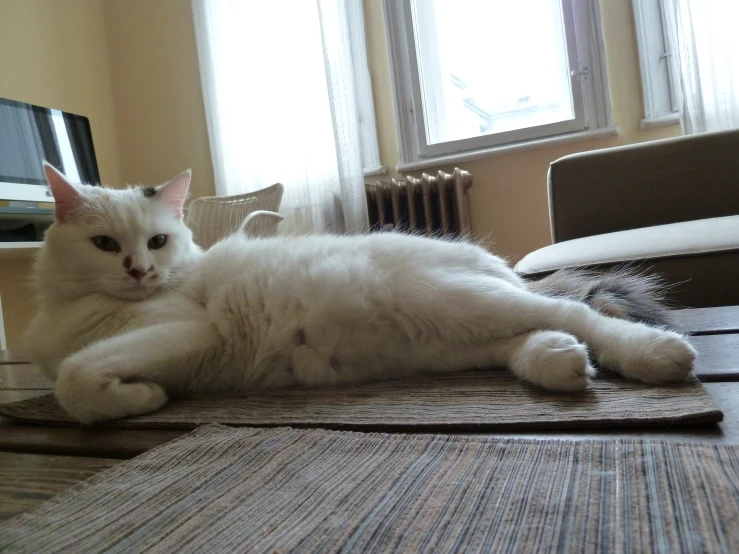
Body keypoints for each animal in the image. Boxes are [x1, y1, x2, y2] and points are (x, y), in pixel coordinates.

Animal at [27, 164, 700, 422]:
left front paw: (140, 397)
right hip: (456, 334)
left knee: (576, 312)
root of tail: (493, 263)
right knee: (535, 336)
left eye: (157, 241)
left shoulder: (189, 331)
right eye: (105, 245)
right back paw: (559, 363)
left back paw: (655, 354)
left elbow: (76, 382)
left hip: (454, 299)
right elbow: (73, 381)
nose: (139, 271)